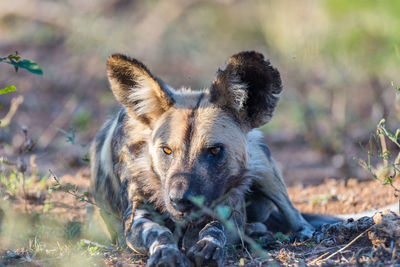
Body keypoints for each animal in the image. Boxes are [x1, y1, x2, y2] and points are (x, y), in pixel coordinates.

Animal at [90, 51, 316, 266]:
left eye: (214, 150)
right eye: (166, 150)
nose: (179, 200)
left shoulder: (230, 211)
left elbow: (216, 228)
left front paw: (209, 246)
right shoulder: (135, 220)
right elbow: (159, 233)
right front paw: (167, 253)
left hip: (263, 168)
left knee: (295, 214)